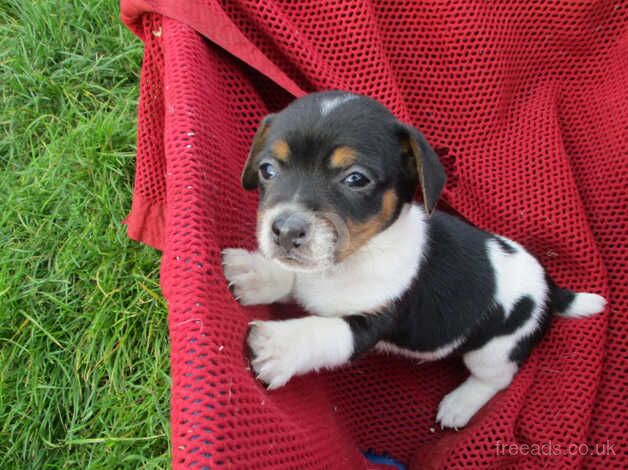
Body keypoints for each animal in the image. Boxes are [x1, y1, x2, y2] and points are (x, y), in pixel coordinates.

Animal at [222, 92, 608, 430]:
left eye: (356, 179)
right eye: (267, 170)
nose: (286, 230)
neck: (353, 258)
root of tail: (548, 286)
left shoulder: (369, 326)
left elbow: (325, 331)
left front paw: (277, 347)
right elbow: (291, 277)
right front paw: (255, 273)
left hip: (495, 349)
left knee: (496, 379)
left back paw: (460, 404)